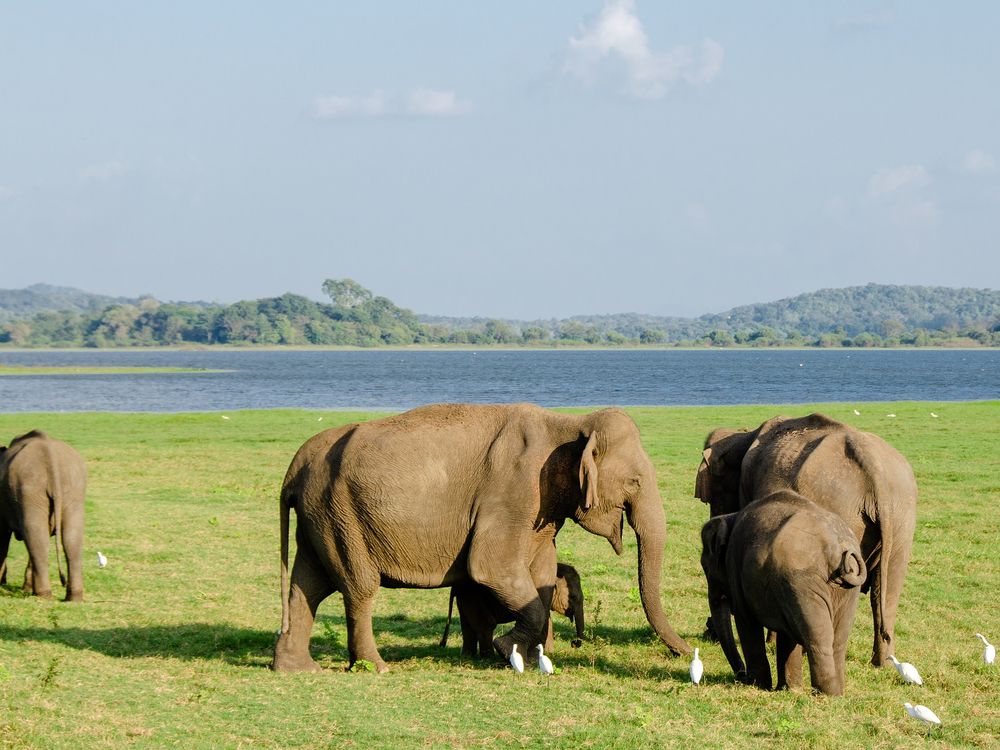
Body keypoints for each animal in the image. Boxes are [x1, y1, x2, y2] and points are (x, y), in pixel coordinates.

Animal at [0, 432, 87, 604]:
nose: (4, 582)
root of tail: (50, 456)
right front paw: (25, 588)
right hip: (74, 491)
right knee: (70, 539)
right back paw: (73, 597)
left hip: (28, 490)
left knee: (36, 536)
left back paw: (43, 595)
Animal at [440, 560, 584, 656]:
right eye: (573, 597)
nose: (574, 643)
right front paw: (546, 653)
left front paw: (548, 653)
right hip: (474, 597)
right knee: (486, 624)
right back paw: (488, 658)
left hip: (465, 598)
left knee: (468, 625)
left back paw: (468, 656)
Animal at [696, 414, 916, 668]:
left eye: (711, 497)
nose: (708, 631)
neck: (744, 434)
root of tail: (874, 467)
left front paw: (773, 642)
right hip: (902, 518)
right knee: (886, 590)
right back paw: (883, 663)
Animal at [700, 490, 864, 696]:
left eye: (705, 567)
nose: (741, 676)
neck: (731, 516)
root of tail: (838, 547)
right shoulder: (785, 592)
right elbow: (787, 635)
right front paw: (789, 689)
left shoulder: (735, 567)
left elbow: (746, 621)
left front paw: (758, 685)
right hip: (843, 592)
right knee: (838, 641)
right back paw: (836, 694)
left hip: (803, 582)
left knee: (818, 637)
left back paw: (824, 693)